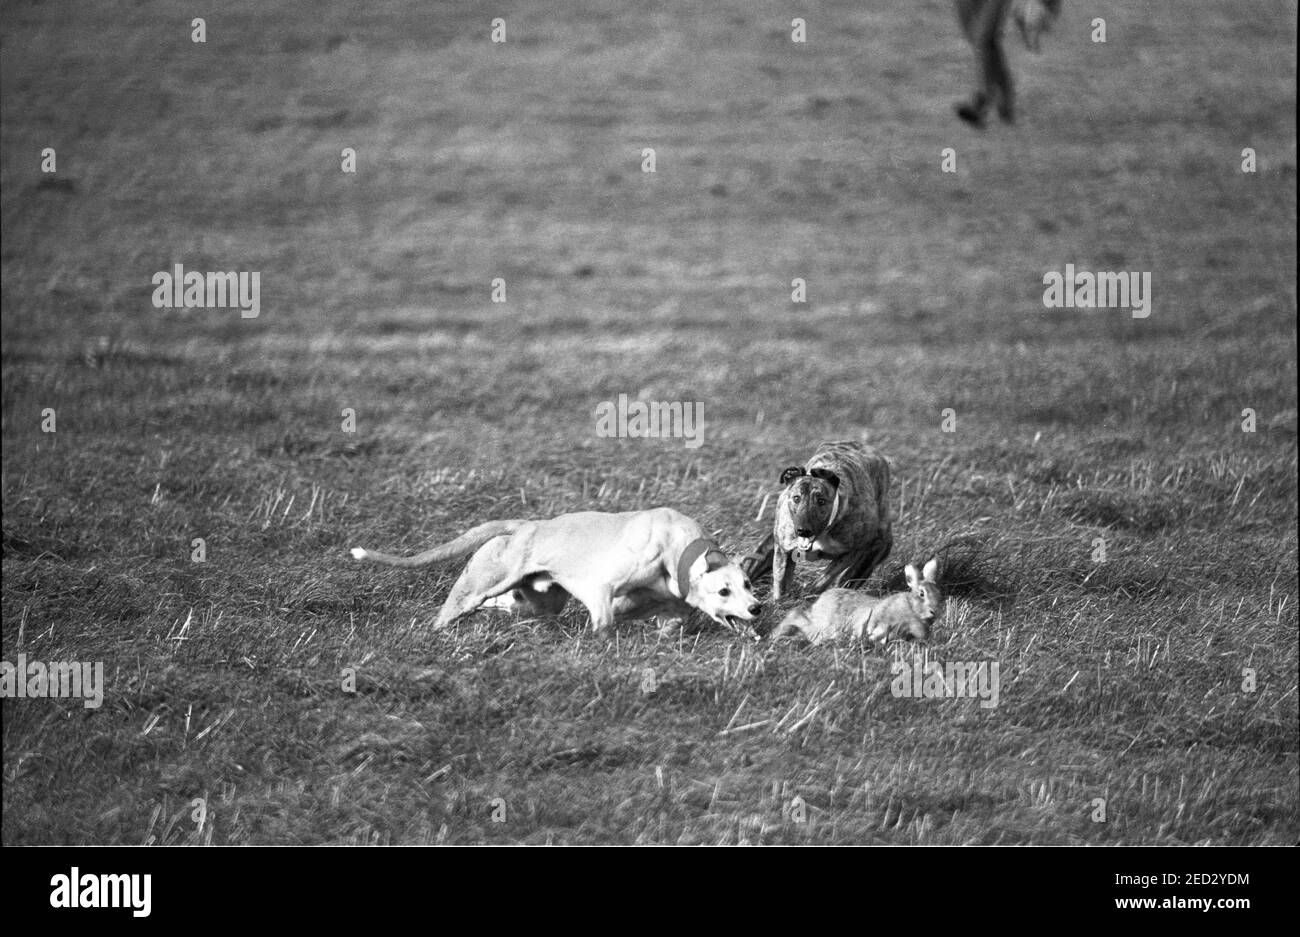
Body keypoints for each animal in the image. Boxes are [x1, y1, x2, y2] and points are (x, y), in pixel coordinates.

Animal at [743, 441, 894, 603]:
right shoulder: (783, 549)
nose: (803, 530)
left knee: (848, 578)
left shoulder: (852, 551)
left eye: (821, 501)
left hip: (875, 549)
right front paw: (780, 603)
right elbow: (781, 583)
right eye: (796, 498)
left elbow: (825, 578)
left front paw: (808, 595)